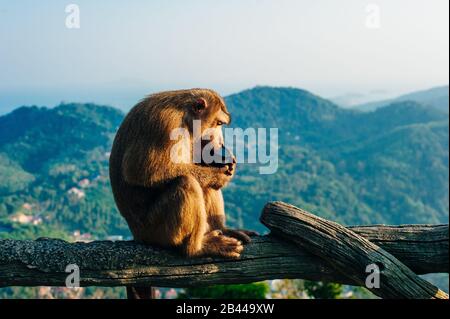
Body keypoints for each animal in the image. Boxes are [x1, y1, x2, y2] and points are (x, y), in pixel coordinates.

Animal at [109, 88, 256, 262]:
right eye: (218, 123)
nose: (219, 140)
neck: (185, 117)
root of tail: (136, 233)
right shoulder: (166, 124)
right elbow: (142, 171)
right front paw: (219, 174)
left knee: (204, 185)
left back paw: (222, 229)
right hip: (155, 230)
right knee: (187, 182)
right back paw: (196, 248)